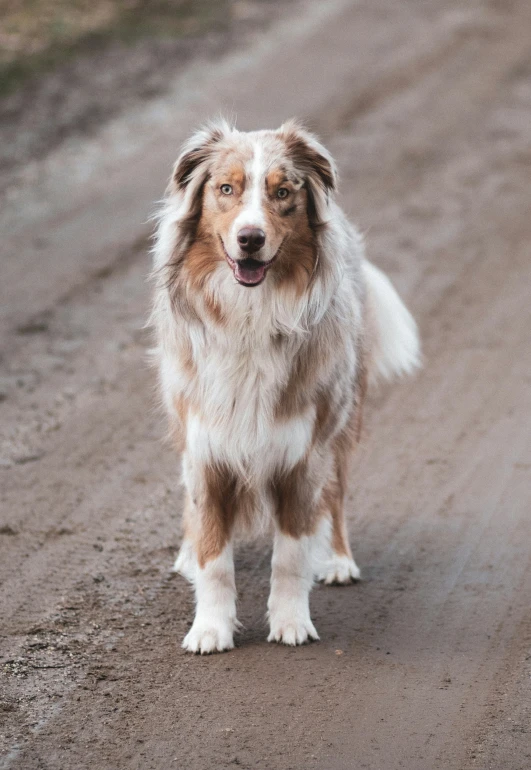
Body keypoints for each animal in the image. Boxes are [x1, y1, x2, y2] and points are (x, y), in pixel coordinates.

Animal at [151, 117, 420, 652]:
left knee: (335, 497)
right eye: (226, 189)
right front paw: (209, 628)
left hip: (342, 421)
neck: (249, 315)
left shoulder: (301, 452)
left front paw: (291, 622)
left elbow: (291, 554)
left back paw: (336, 559)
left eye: (282, 192)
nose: (250, 238)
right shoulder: (206, 447)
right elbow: (215, 556)